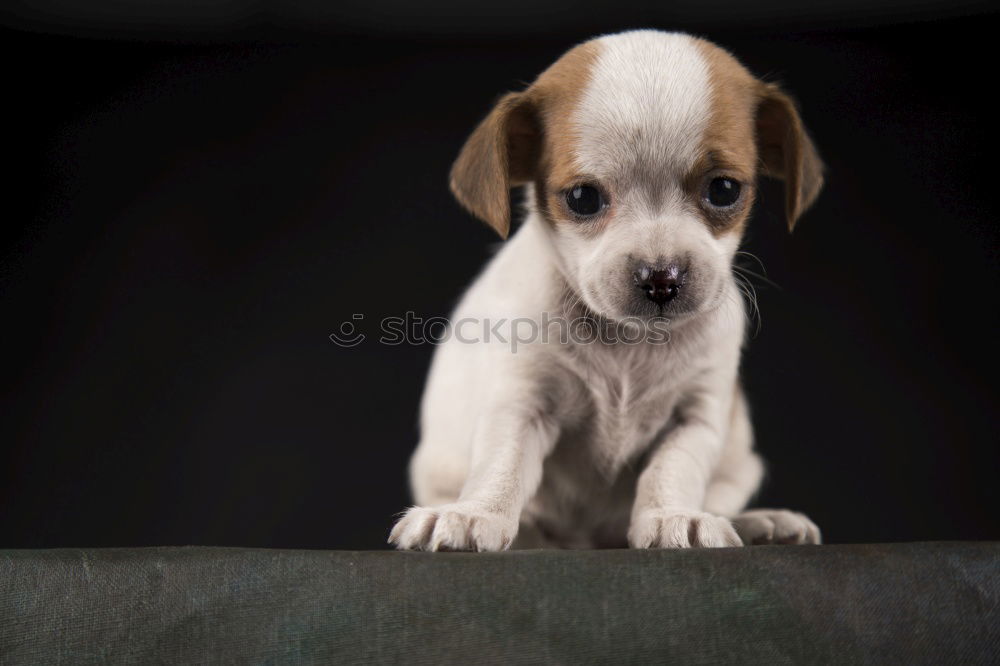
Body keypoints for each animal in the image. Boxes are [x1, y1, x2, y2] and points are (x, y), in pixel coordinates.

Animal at [388, 29, 820, 548]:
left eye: (724, 190)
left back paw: (759, 523)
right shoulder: (522, 404)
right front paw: (474, 513)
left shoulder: (696, 417)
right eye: (583, 198)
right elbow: (502, 465)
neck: (629, 344)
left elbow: (672, 470)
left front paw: (674, 515)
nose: (661, 278)